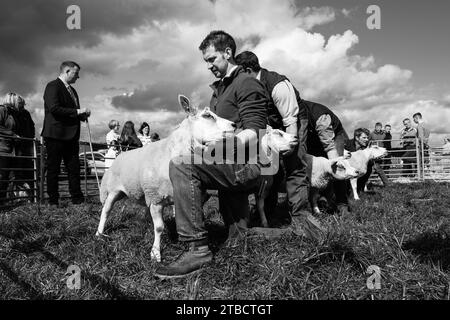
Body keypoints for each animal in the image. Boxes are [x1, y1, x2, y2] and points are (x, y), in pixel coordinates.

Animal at [95, 94, 236, 262]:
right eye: (207, 115)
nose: (234, 125)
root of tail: (119, 156)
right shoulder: (156, 198)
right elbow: (159, 227)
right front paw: (155, 253)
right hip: (112, 191)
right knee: (106, 210)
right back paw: (99, 233)